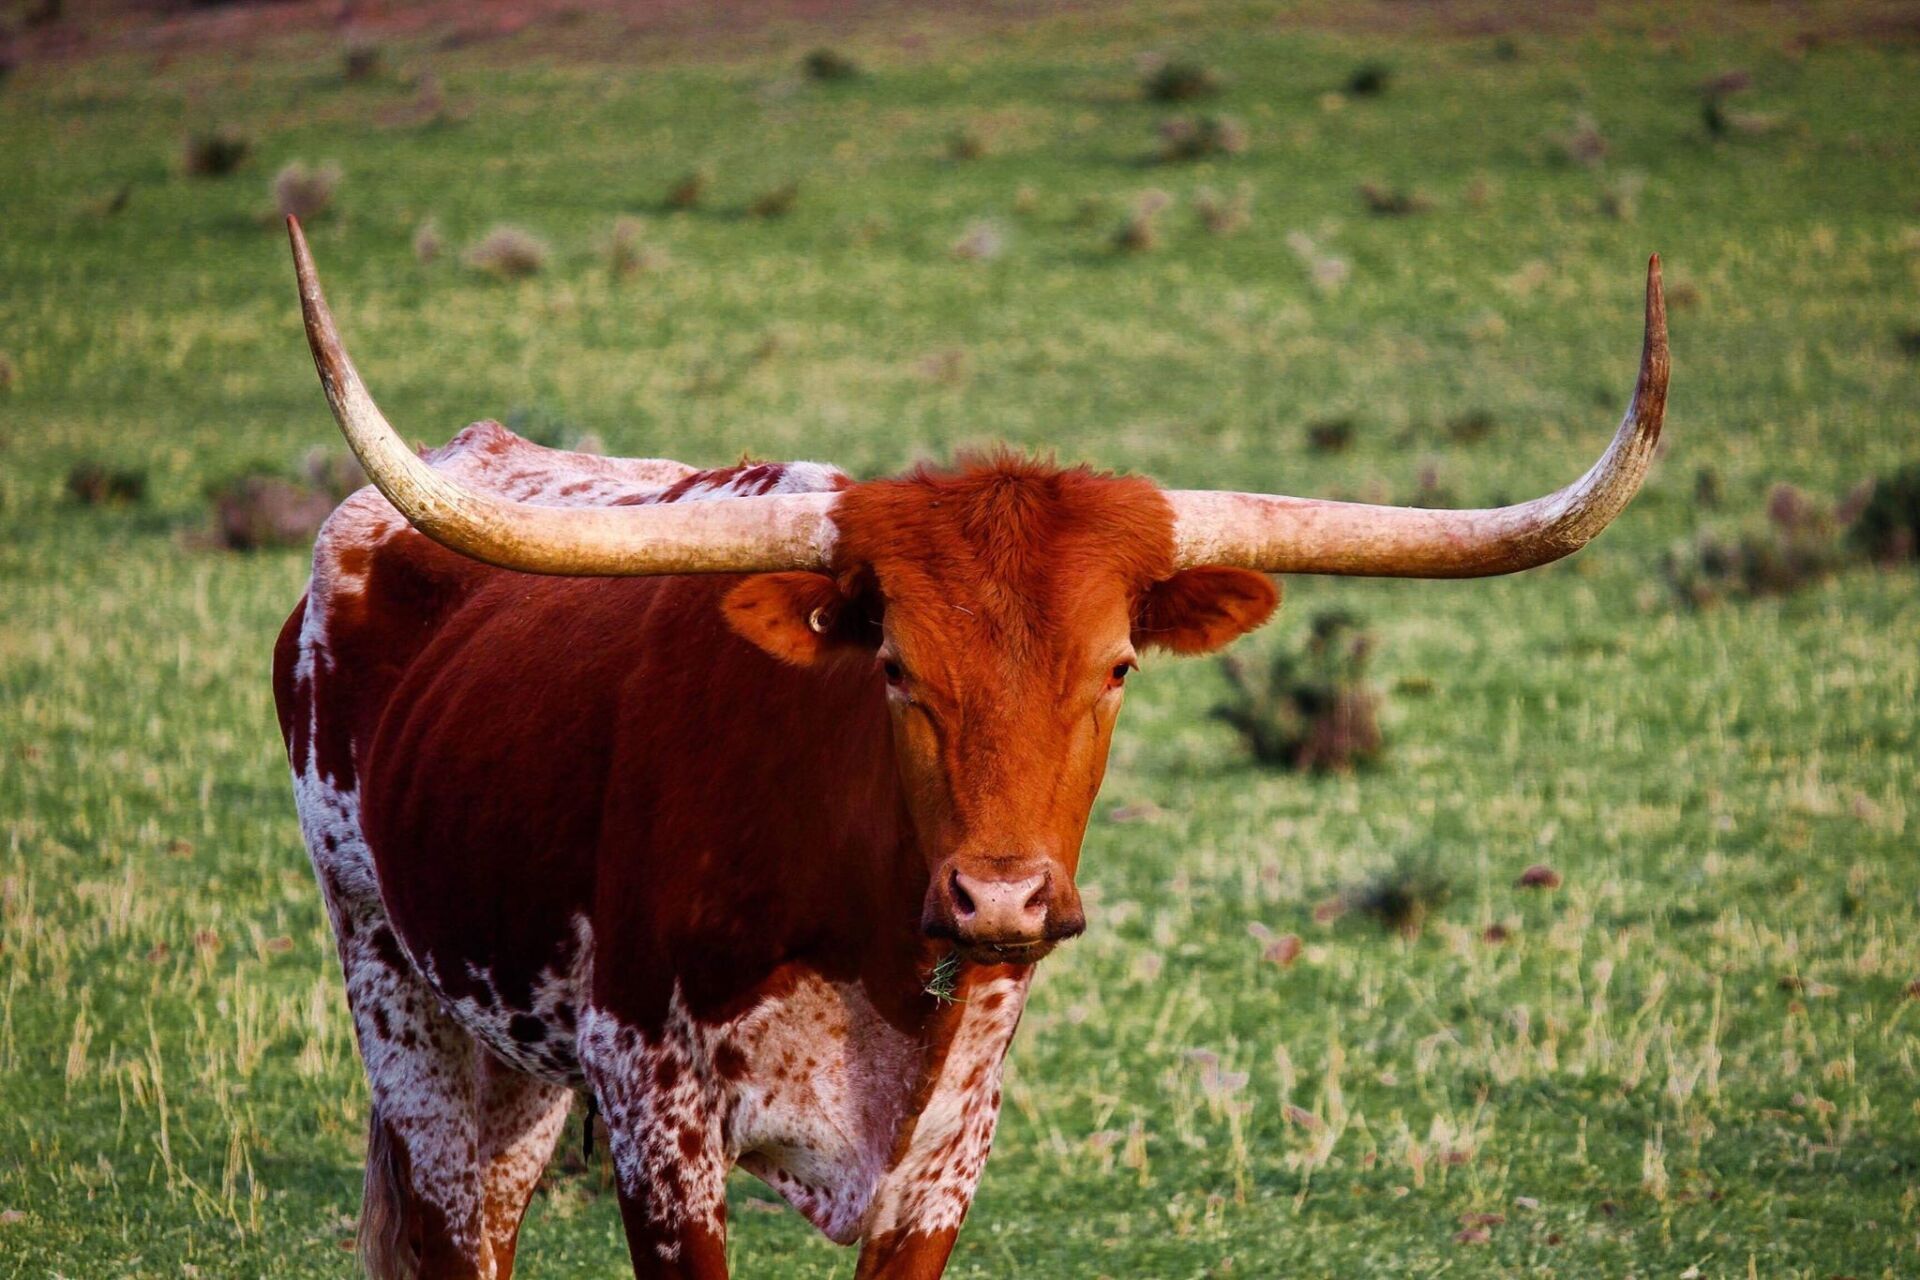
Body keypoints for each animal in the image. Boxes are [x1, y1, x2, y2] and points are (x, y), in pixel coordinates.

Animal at [272, 217, 1667, 1279]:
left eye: (1117, 667)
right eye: (894, 666)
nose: (1000, 897)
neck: (867, 925)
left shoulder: (946, 1153)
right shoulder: (657, 1119)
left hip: (512, 1056)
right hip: (399, 999)